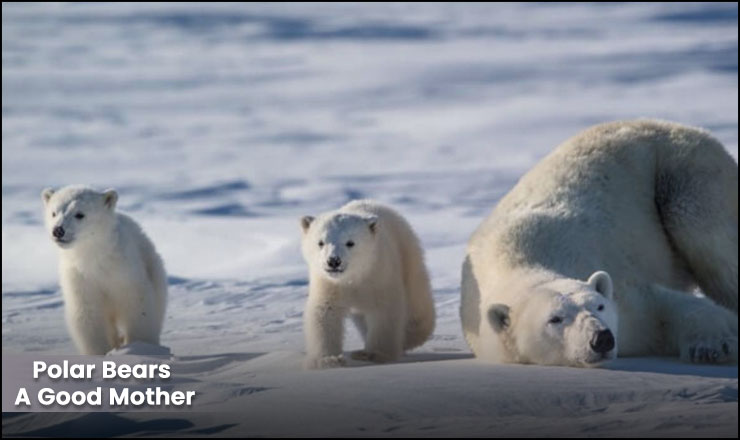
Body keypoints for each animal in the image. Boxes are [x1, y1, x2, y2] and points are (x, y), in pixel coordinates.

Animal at [42, 185, 168, 354]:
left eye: (80, 214)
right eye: (54, 213)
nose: (58, 230)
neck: (95, 257)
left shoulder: (125, 271)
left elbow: (137, 306)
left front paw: (139, 346)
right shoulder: (79, 277)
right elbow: (88, 315)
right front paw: (102, 353)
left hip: (154, 269)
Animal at [300, 199, 436, 368]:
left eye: (350, 242)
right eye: (320, 242)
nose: (333, 261)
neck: (355, 276)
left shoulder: (380, 275)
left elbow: (384, 311)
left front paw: (374, 354)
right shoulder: (328, 283)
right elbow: (325, 312)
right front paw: (328, 359)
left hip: (407, 254)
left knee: (416, 301)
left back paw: (410, 336)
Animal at [460, 118, 736, 366]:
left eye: (599, 306)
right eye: (555, 318)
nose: (601, 338)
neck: (515, 262)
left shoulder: (626, 301)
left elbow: (661, 307)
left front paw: (713, 346)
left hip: (684, 171)